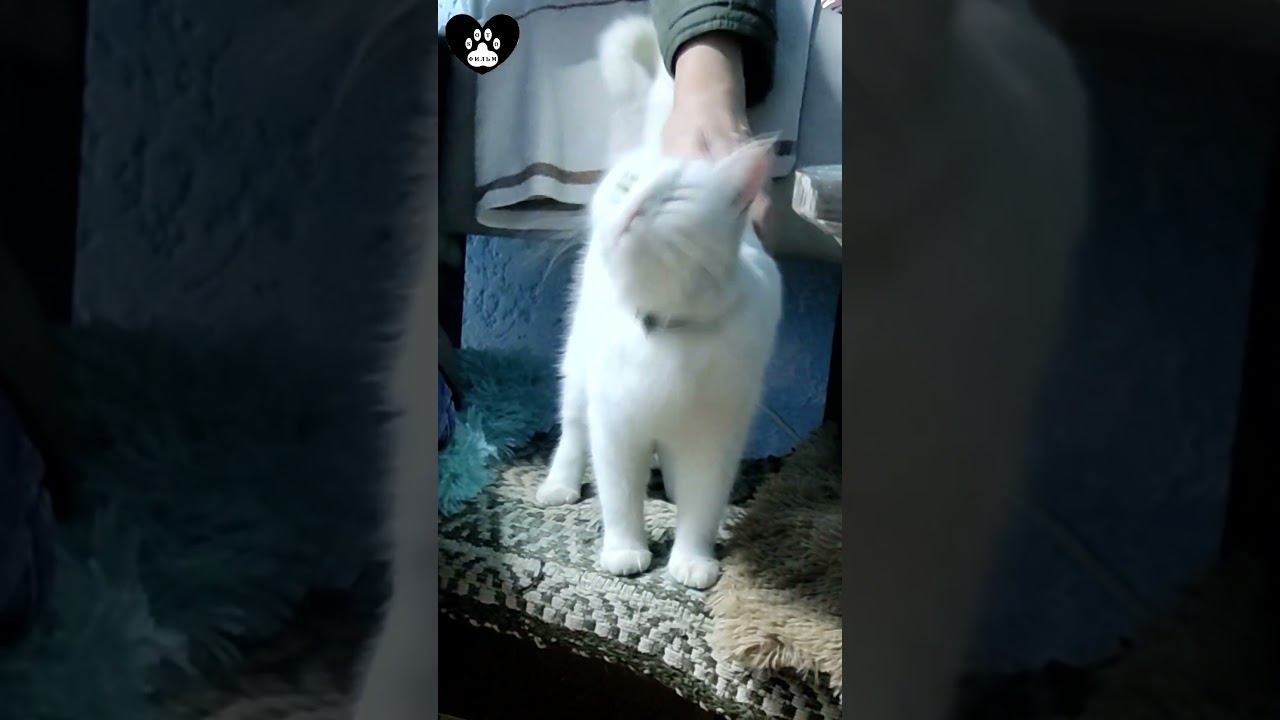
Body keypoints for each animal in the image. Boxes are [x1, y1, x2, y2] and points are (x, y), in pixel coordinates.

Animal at [530, 16, 783, 590]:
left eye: (675, 197)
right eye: (626, 185)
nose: (635, 206)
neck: (666, 327)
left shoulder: (714, 439)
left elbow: (703, 507)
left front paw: (691, 560)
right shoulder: (616, 426)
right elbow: (621, 497)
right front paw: (626, 551)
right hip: (579, 371)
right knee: (572, 432)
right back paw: (560, 485)